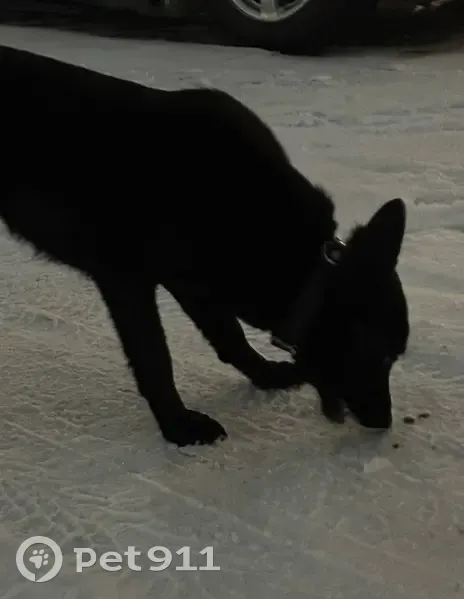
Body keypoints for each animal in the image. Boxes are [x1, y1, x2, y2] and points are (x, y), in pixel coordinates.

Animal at [0, 45, 410, 446]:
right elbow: (155, 358)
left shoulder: (194, 283)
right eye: (383, 357)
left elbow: (229, 336)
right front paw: (178, 426)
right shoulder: (128, 280)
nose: (384, 422)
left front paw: (264, 375)